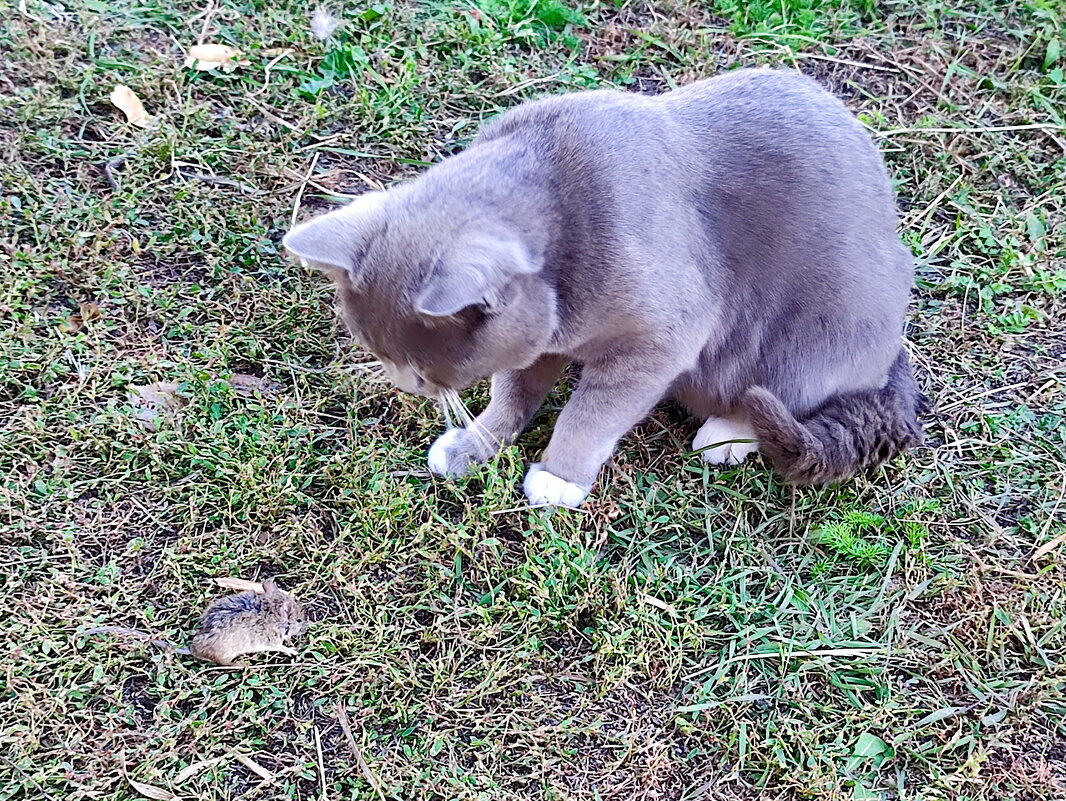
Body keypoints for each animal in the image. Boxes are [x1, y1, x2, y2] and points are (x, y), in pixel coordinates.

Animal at [283, 67, 925, 507]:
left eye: (419, 367)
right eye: (377, 353)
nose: (403, 385)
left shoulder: (658, 340)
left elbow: (590, 414)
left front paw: (556, 478)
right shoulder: (534, 339)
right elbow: (511, 393)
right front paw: (474, 444)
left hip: (820, 327)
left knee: (786, 390)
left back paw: (724, 435)